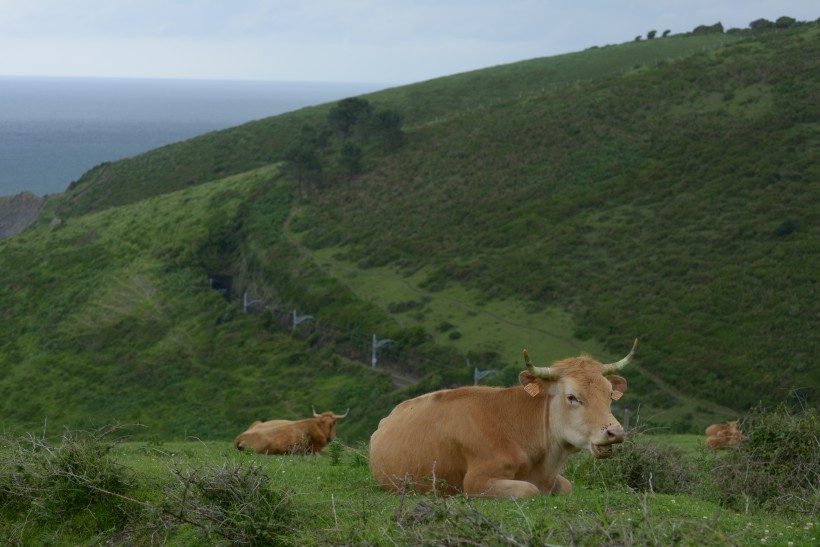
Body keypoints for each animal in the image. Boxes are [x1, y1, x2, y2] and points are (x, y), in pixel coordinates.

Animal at [368, 340, 636, 498]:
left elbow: (566, 486)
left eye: (609, 394)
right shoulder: (476, 481)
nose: (615, 432)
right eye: (572, 396)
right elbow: (528, 490)